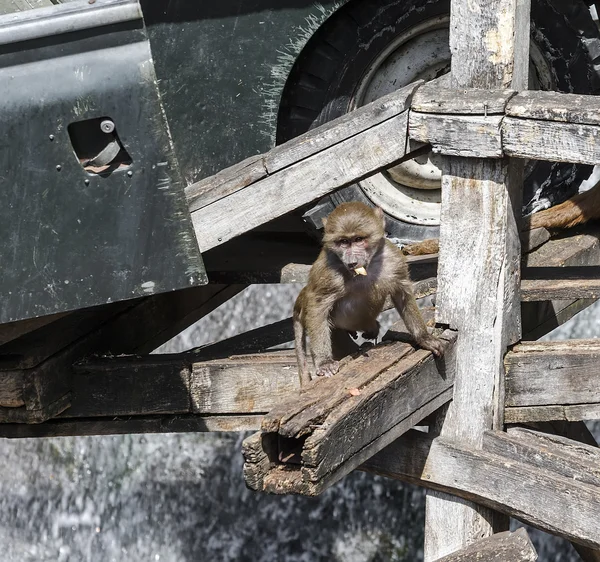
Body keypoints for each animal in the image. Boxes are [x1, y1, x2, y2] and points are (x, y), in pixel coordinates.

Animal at [294, 199, 446, 382]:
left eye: (358, 239)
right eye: (343, 242)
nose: (352, 262)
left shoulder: (393, 258)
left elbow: (402, 294)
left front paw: (424, 338)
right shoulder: (329, 271)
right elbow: (318, 306)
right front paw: (324, 362)